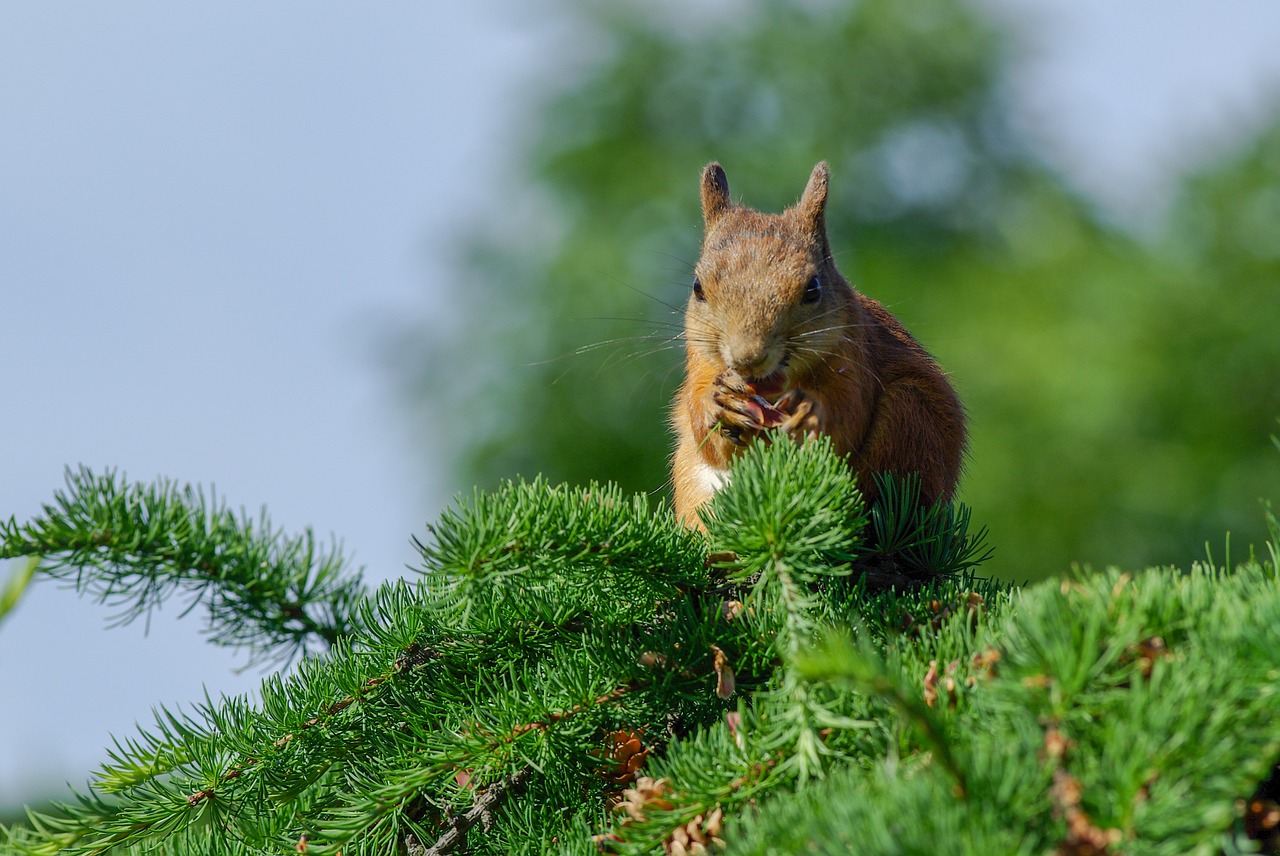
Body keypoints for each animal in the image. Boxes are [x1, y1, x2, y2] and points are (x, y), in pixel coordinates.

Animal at [675, 156, 962, 524]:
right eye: (698, 287)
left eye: (812, 289)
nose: (747, 358)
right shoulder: (699, 360)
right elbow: (704, 431)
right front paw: (720, 403)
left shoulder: (854, 354)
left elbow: (848, 416)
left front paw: (811, 412)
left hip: (910, 416)